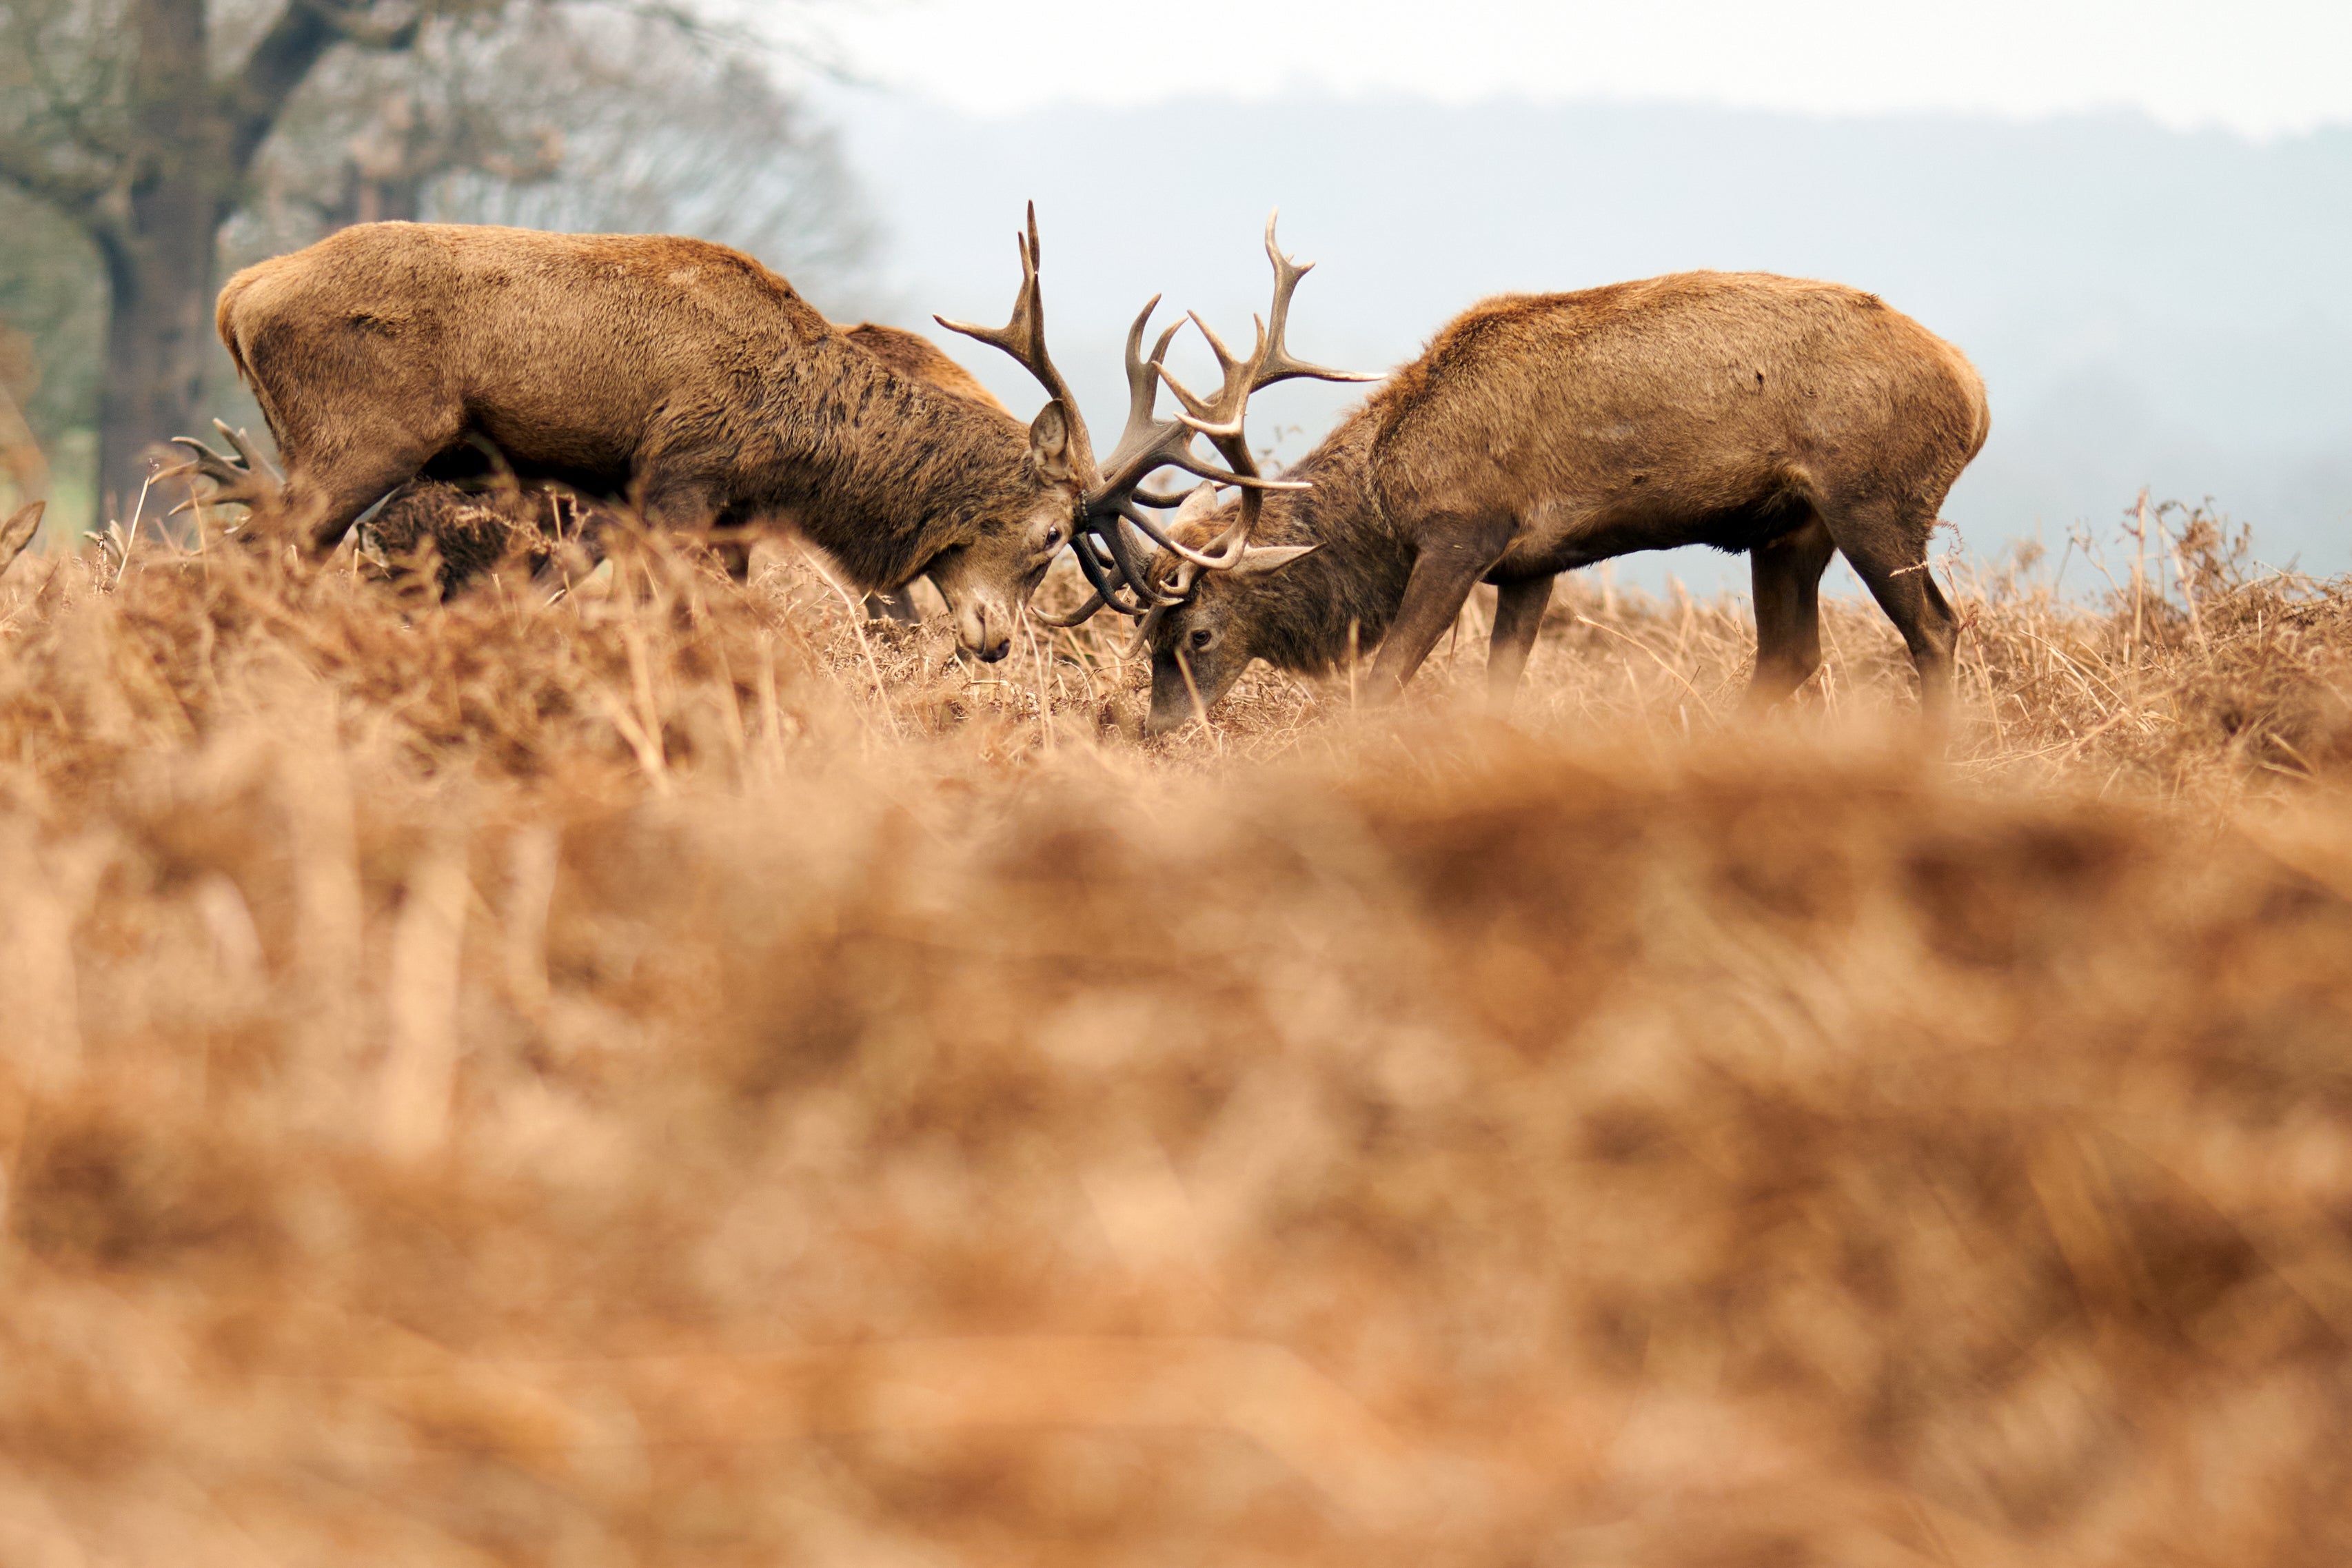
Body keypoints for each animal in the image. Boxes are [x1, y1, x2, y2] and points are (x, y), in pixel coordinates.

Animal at [168, 210, 1308, 662]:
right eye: (1041, 539)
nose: (990, 644)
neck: (800, 442)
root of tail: (235, 295)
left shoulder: (699, 511)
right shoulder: (676, 477)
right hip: (354, 441)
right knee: (247, 557)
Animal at [1115, 271, 1985, 737]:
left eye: (1196, 632)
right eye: (1146, 635)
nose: (1159, 729)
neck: (1384, 507)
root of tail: (1974, 392)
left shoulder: (1464, 531)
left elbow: (1385, 674)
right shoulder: (1532, 565)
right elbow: (1500, 683)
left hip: (1873, 500)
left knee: (1935, 628)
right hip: (1790, 529)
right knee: (1790, 652)